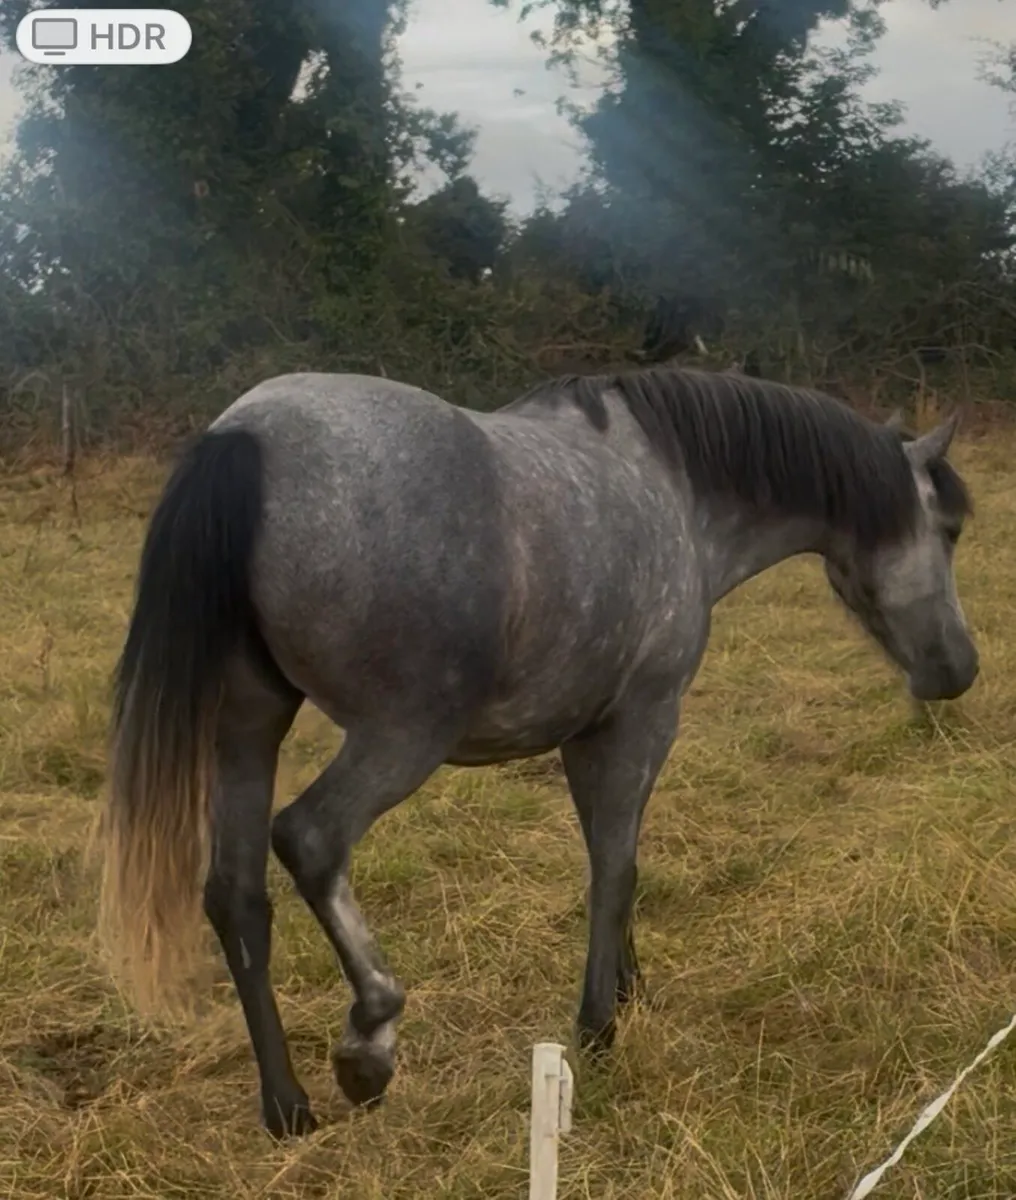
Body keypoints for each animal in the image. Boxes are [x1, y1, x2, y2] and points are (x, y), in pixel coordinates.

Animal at [98, 364, 978, 1138]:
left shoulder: (588, 734)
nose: (958, 669)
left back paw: (287, 1108)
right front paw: (598, 1025)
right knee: (312, 840)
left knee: (237, 896)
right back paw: (370, 1041)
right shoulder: (640, 721)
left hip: (248, 729)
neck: (671, 484)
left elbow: (613, 861)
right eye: (951, 529)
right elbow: (616, 866)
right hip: (401, 736)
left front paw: (625, 989)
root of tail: (244, 436)